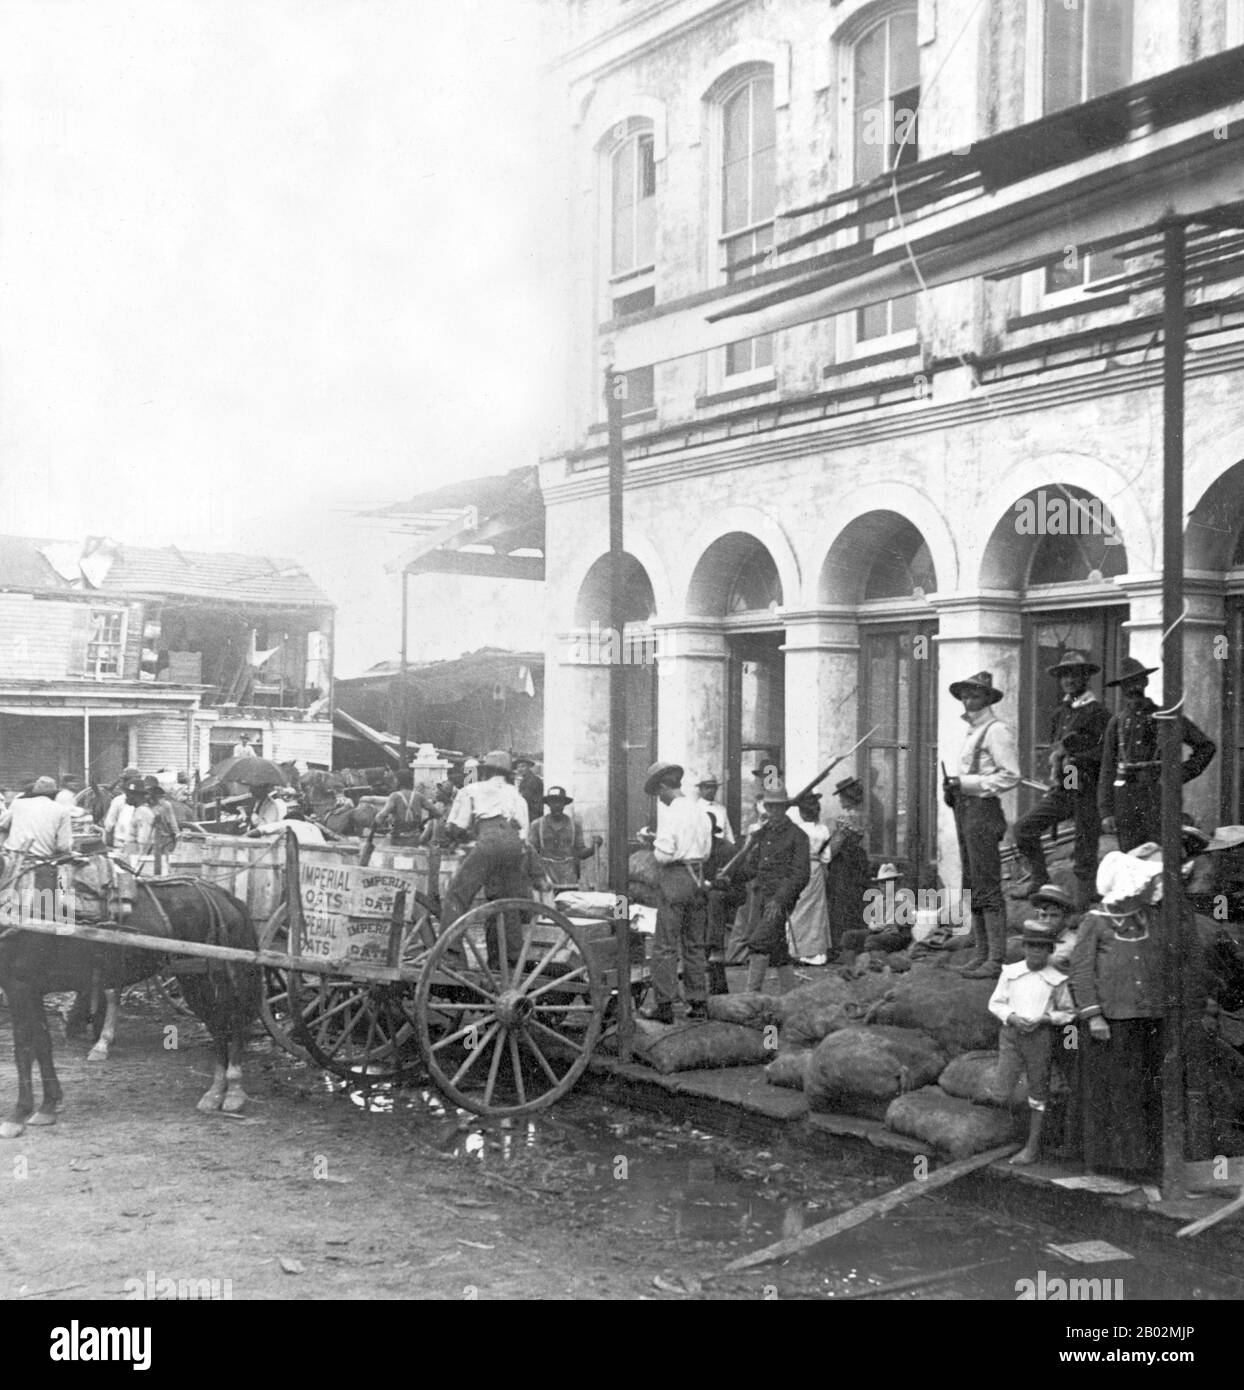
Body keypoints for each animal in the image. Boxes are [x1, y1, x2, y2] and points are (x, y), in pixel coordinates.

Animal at [0, 856, 259, 1139]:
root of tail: (225, 897)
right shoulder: (29, 990)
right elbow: (41, 1046)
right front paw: (48, 1105)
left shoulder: (20, 987)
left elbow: (24, 1050)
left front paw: (18, 1114)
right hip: (195, 978)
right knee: (218, 1027)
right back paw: (215, 1093)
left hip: (219, 978)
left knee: (233, 1023)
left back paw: (234, 1091)